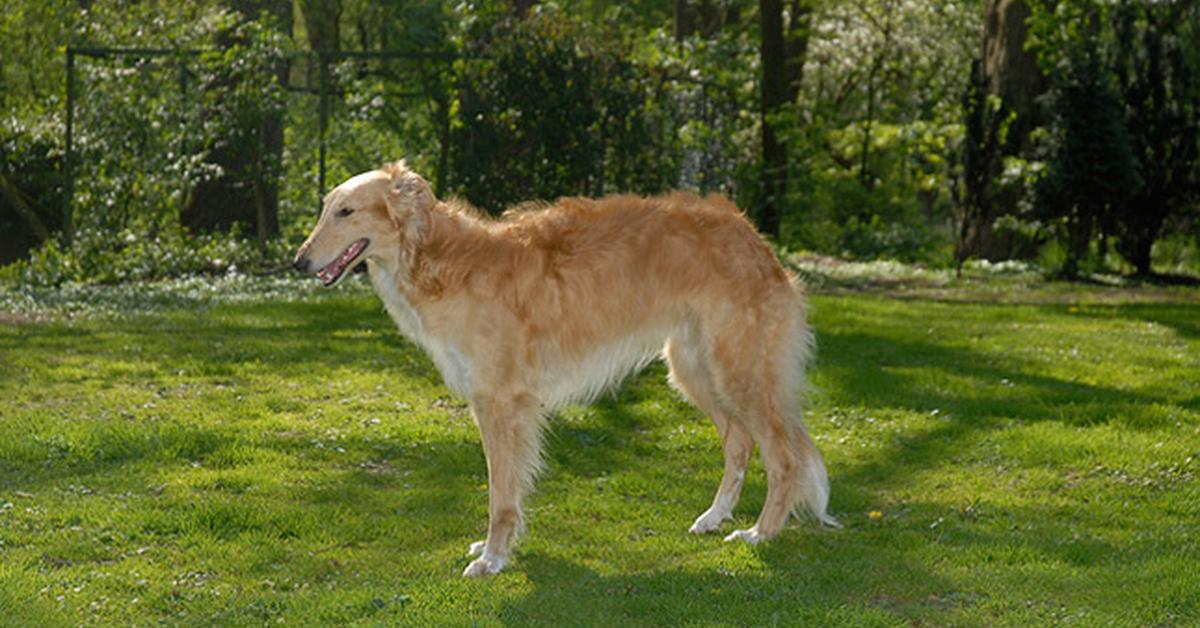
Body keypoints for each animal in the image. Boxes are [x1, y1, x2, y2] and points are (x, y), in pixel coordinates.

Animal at [292, 163, 835, 581]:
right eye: (325, 206)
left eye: (347, 211)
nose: (297, 262)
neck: (440, 261)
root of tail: (753, 237)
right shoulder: (496, 404)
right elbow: (508, 488)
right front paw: (495, 550)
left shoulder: (500, 401)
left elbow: (501, 494)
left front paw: (492, 559)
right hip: (695, 370)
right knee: (739, 443)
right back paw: (714, 517)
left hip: (739, 374)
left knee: (784, 457)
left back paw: (760, 532)